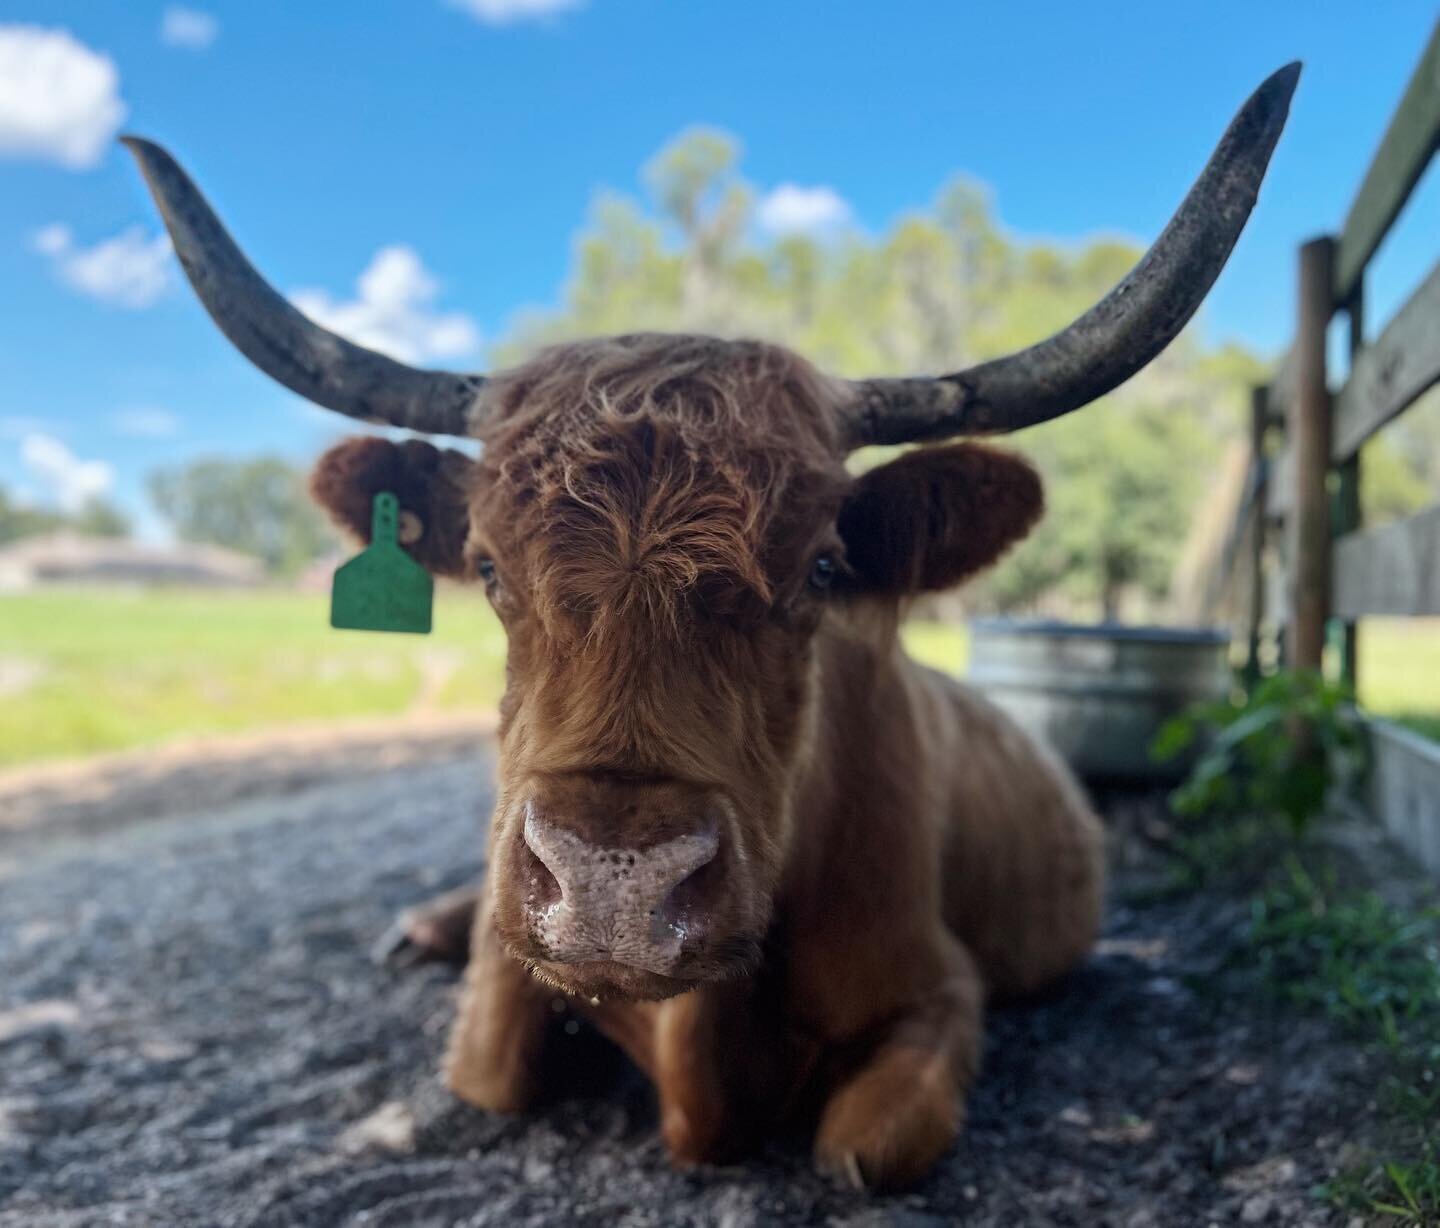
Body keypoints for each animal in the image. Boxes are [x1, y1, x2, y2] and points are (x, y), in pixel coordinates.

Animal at [126, 62, 1297, 1189]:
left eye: (822, 567)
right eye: (490, 569)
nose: (613, 885)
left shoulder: (941, 991)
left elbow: (865, 1152)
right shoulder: (505, 986)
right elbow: (489, 1072)